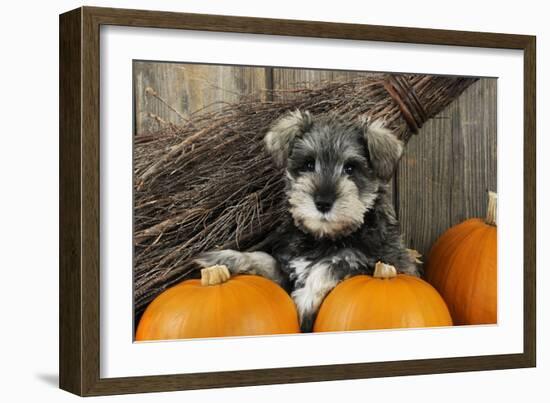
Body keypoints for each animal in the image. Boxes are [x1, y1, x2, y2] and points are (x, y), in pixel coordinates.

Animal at [196, 109, 420, 332]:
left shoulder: (376, 261)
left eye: (350, 168)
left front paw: (304, 300)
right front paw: (225, 259)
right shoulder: (286, 267)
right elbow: (264, 259)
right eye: (309, 164)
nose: (323, 202)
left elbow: (330, 266)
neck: (324, 238)